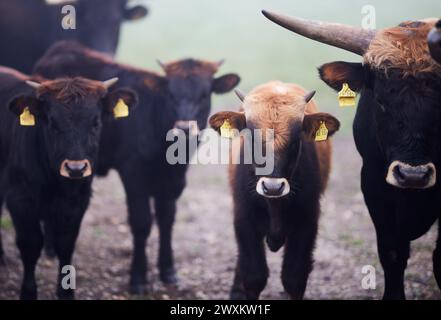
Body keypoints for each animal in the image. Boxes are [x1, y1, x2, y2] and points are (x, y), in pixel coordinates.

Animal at [0, 65, 138, 300]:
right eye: (52, 122)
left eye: (96, 122)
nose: (76, 168)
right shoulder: (20, 199)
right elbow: (30, 244)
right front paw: (28, 292)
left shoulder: (77, 201)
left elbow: (66, 243)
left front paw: (66, 292)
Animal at [33, 41, 241, 294]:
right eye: (170, 94)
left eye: (204, 95)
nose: (184, 127)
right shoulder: (133, 175)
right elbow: (142, 223)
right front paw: (138, 278)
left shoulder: (174, 181)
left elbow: (167, 219)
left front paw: (168, 271)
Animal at [209, 80, 340, 300]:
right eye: (251, 138)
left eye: (296, 140)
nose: (272, 187)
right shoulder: (244, 220)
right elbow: (254, 276)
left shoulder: (307, 223)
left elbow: (293, 278)